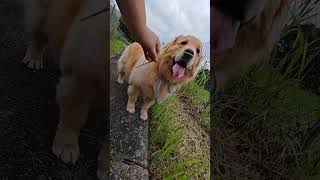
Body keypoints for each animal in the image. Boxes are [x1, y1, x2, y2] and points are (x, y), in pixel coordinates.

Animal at [22, 0, 107, 178]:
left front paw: (107, 168)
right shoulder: (84, 70)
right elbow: (74, 115)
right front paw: (66, 147)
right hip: (42, 10)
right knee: (39, 33)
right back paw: (34, 59)